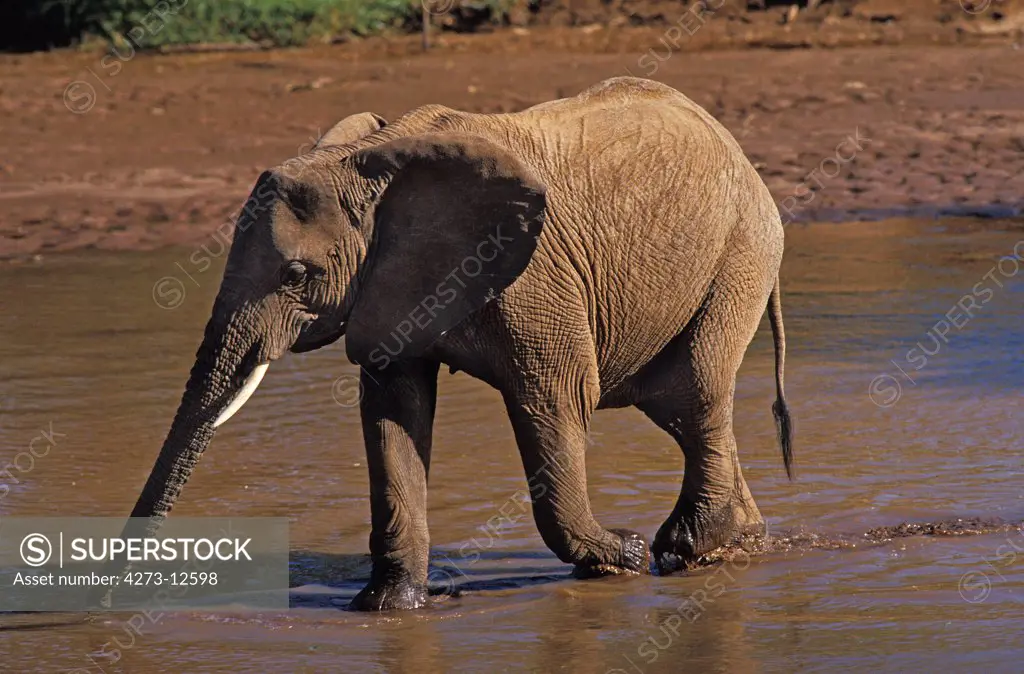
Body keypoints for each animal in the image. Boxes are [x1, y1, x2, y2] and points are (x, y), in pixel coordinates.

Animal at [117, 77, 790, 610]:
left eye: (297, 275)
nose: (113, 598)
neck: (368, 162)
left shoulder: (533, 277)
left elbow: (556, 400)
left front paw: (617, 557)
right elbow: (393, 414)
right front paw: (391, 606)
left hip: (742, 251)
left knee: (693, 395)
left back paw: (687, 549)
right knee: (677, 408)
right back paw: (740, 542)